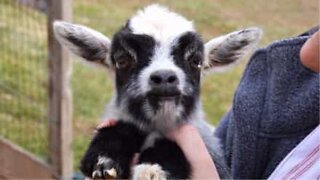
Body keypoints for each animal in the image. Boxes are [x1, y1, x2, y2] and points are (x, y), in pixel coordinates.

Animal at [53, 4, 262, 180]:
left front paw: (152, 170)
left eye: (196, 61)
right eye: (122, 60)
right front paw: (104, 161)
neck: (156, 124)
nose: (164, 77)